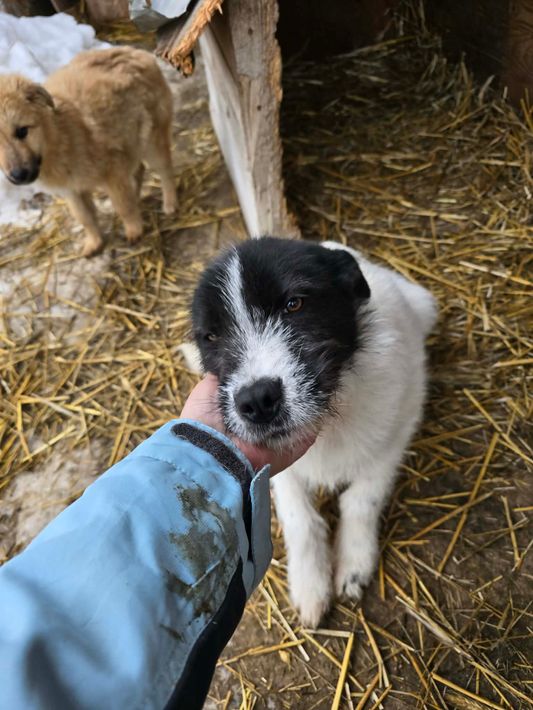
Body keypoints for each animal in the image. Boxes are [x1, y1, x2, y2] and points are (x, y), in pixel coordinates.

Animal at [0, 46, 176, 256]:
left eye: (22, 131)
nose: (18, 176)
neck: (61, 134)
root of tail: (135, 51)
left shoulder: (113, 172)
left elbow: (123, 206)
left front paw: (134, 230)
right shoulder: (73, 191)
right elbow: (85, 217)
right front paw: (94, 242)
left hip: (152, 141)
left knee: (165, 170)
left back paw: (170, 204)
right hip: (131, 140)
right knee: (139, 169)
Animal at [189, 237, 437, 627]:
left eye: (294, 304)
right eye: (211, 336)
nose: (257, 401)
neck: (330, 421)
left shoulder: (396, 434)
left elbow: (361, 500)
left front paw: (354, 565)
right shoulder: (280, 471)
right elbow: (300, 521)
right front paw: (310, 586)